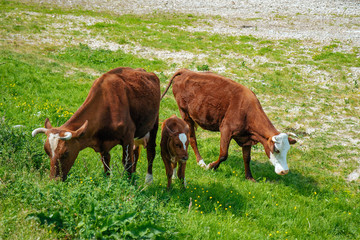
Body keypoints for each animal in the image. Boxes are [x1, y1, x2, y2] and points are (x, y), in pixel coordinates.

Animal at [162, 68, 296, 181]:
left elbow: (247, 158)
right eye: (276, 150)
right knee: (192, 138)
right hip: (185, 114)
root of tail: (186, 71)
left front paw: (249, 177)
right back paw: (201, 162)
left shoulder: (247, 137)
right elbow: (223, 154)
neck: (247, 111)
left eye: (287, 150)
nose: (284, 171)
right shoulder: (226, 129)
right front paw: (211, 166)